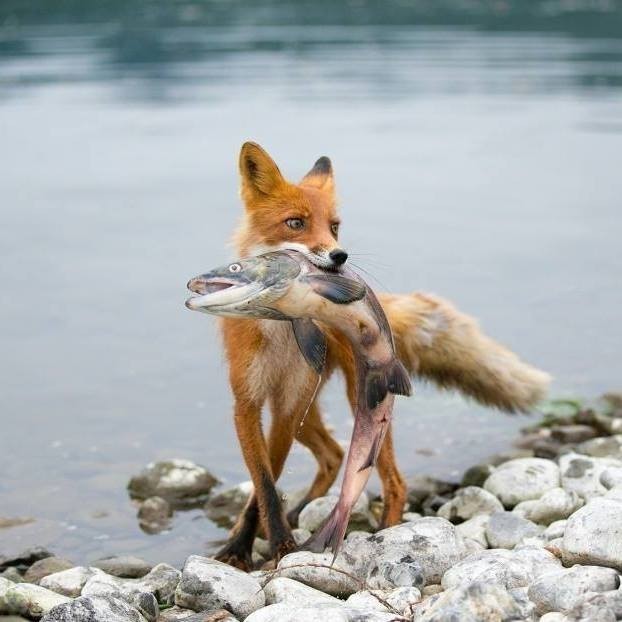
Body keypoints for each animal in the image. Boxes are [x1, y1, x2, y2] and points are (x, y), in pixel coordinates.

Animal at [213, 141, 552, 572]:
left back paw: (386, 535)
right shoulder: (249, 403)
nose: (339, 256)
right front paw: (244, 546)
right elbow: (265, 484)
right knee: (333, 455)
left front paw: (278, 548)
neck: (279, 331)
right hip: (308, 411)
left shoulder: (286, 406)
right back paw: (304, 513)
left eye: (334, 226)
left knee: (393, 482)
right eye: (295, 223)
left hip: (358, 402)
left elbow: (264, 486)